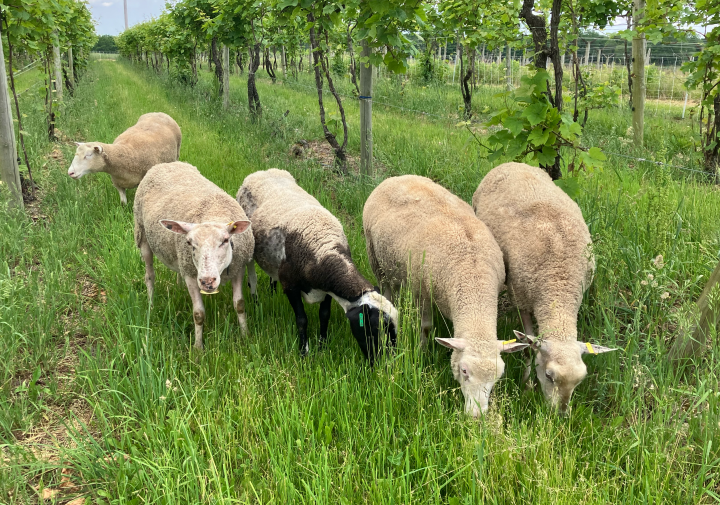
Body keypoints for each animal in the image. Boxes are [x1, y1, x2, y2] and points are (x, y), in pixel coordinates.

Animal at [134, 161, 254, 350]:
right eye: (190, 243)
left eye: (225, 240)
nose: (207, 281)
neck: (214, 212)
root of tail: (164, 164)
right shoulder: (192, 276)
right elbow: (198, 314)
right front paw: (198, 348)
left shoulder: (238, 269)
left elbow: (239, 305)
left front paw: (245, 336)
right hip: (142, 234)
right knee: (149, 275)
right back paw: (151, 305)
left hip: (179, 258)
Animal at [236, 169, 398, 364]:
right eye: (374, 328)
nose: (387, 364)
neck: (323, 250)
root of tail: (262, 171)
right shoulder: (291, 286)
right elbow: (302, 320)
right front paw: (304, 353)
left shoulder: (327, 289)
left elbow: (324, 315)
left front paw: (322, 347)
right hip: (249, 243)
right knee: (251, 274)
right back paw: (256, 300)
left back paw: (272, 290)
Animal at [363, 175, 530, 416]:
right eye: (464, 370)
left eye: (498, 377)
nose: (477, 416)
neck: (473, 280)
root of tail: (397, 177)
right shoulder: (421, 291)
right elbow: (425, 327)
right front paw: (422, 354)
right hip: (376, 258)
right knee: (387, 291)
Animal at [472, 162, 618, 414]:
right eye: (549, 376)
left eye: (580, 380)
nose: (560, 414)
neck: (558, 286)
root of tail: (512, 163)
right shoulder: (520, 297)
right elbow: (528, 346)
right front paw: (526, 385)